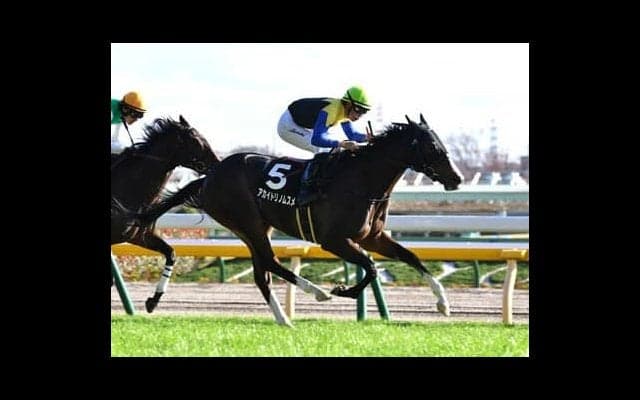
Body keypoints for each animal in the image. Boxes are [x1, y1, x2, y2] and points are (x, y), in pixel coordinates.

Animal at [138, 114, 463, 326]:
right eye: (432, 147)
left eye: (440, 142)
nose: (456, 178)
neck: (362, 180)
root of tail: (209, 177)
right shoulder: (334, 240)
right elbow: (370, 266)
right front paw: (343, 290)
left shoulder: (373, 237)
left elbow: (411, 256)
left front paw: (443, 304)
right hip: (247, 222)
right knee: (270, 263)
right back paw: (318, 293)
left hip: (253, 227)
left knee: (263, 272)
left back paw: (285, 319)